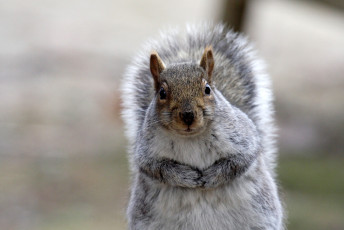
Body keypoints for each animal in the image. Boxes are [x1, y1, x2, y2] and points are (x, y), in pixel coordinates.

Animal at [121, 23, 282, 230]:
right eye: (162, 93)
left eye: (207, 89)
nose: (188, 115)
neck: (191, 137)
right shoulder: (146, 150)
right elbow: (157, 168)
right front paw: (186, 177)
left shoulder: (243, 137)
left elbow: (239, 161)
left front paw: (211, 176)